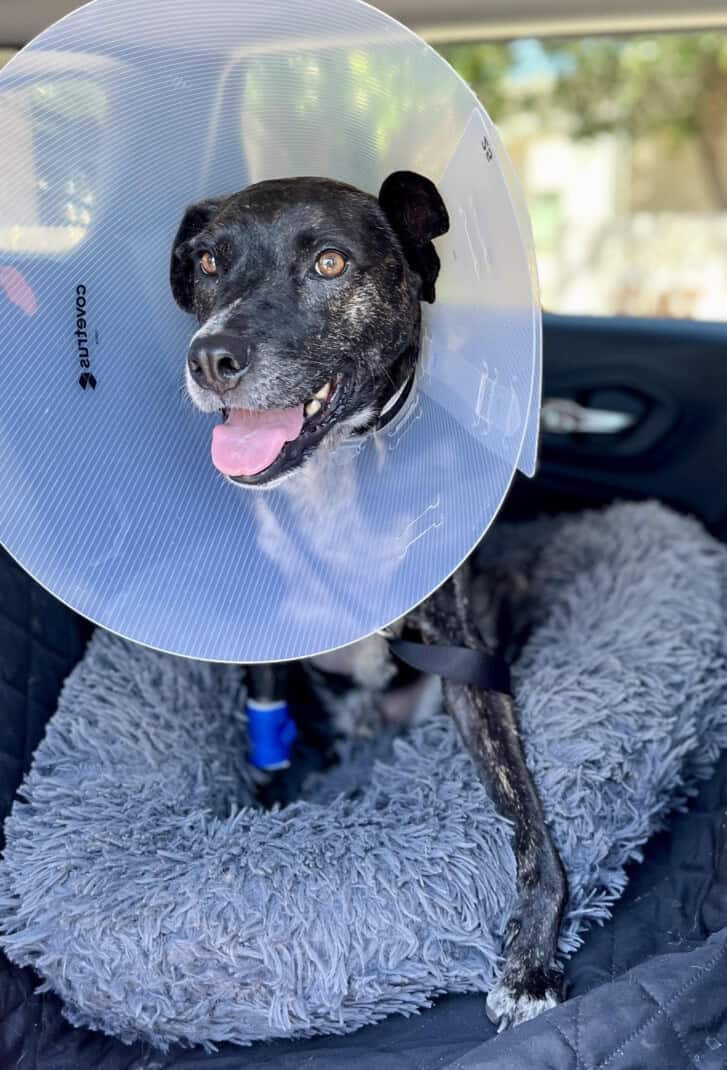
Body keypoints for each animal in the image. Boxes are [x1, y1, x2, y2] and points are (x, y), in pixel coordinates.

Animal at [170, 173, 569, 1027]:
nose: (210, 357)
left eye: (329, 262)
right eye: (210, 261)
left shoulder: (465, 662)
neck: (333, 481)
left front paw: (530, 963)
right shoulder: (265, 645)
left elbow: (527, 819)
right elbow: (269, 757)